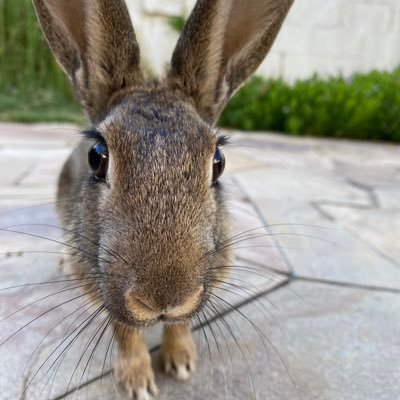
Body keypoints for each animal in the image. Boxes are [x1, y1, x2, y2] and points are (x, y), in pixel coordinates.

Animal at [32, 0, 294, 396]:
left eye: (218, 162)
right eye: (97, 156)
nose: (164, 299)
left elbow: (180, 323)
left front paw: (182, 362)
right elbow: (126, 331)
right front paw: (138, 383)